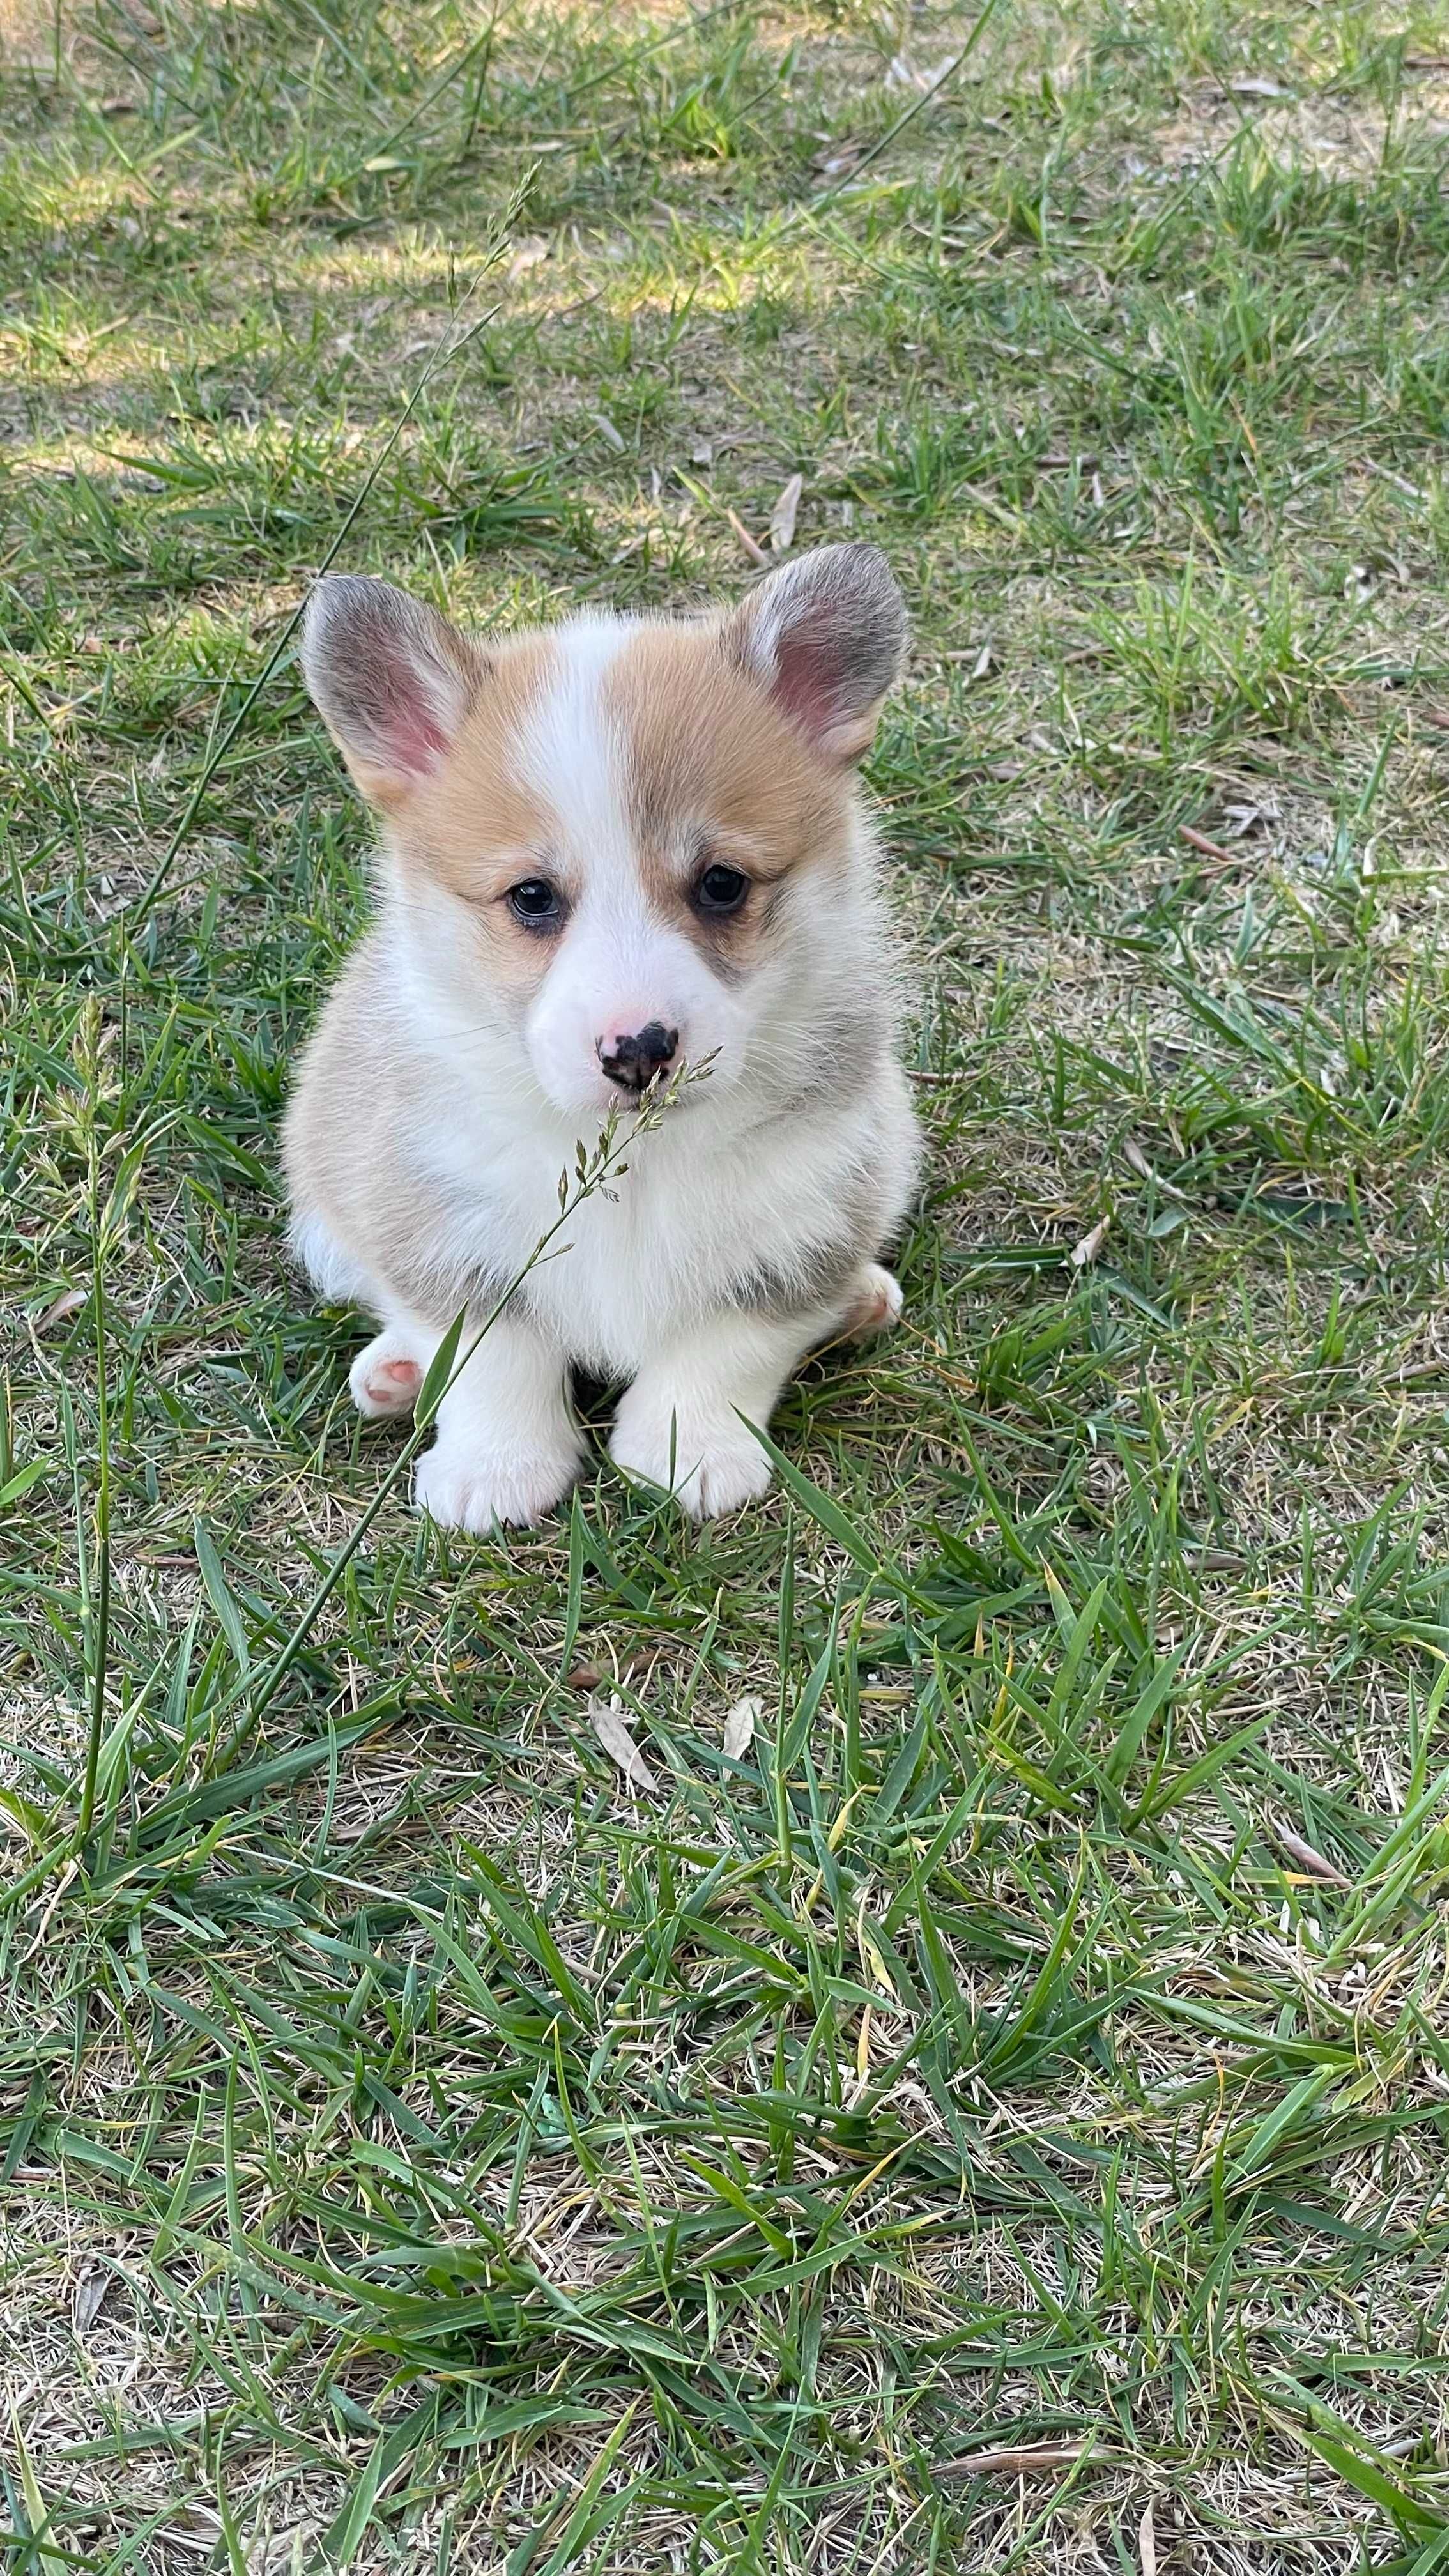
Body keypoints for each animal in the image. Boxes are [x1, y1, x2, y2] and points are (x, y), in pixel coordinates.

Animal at [282, 533, 912, 1514]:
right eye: (532, 898)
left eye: (722, 884)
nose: (640, 1052)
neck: (635, 1160)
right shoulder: (437, 1215)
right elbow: (490, 1353)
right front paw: (496, 1470)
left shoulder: (813, 1206)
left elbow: (730, 1340)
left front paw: (688, 1450)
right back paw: (394, 1375)